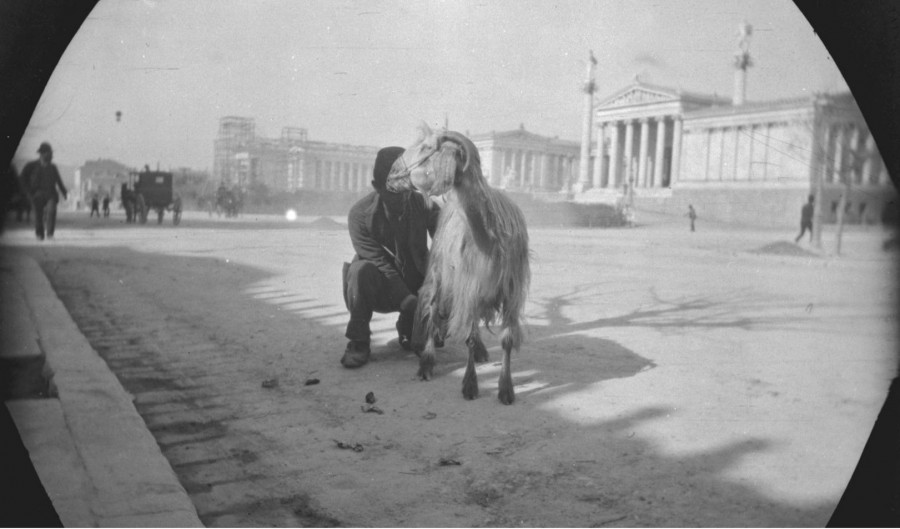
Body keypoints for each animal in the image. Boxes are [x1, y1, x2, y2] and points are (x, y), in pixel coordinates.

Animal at [384, 125, 528, 404]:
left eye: (427, 147)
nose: (391, 173)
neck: (489, 241)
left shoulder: (511, 293)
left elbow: (506, 340)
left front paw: (506, 389)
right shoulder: (467, 288)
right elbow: (468, 337)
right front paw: (470, 385)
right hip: (439, 273)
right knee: (431, 309)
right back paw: (427, 363)